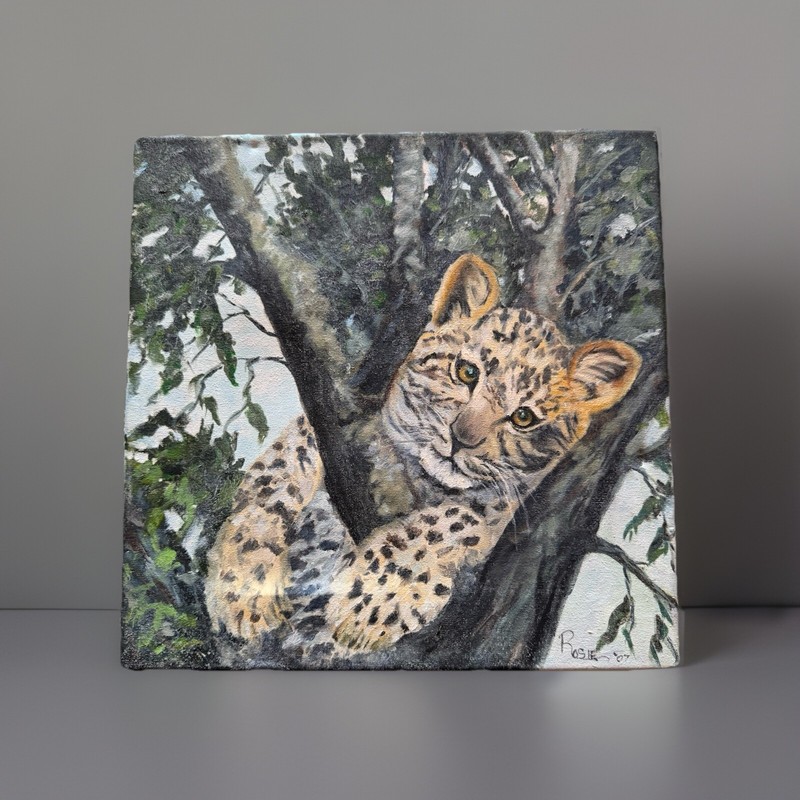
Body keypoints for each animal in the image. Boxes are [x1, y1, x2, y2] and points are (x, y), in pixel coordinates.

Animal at [204, 253, 641, 663]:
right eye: (466, 372)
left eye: (524, 418)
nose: (461, 440)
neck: (421, 480)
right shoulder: (334, 428)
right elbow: (277, 476)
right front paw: (245, 590)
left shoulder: (492, 519)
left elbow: (450, 521)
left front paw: (371, 607)